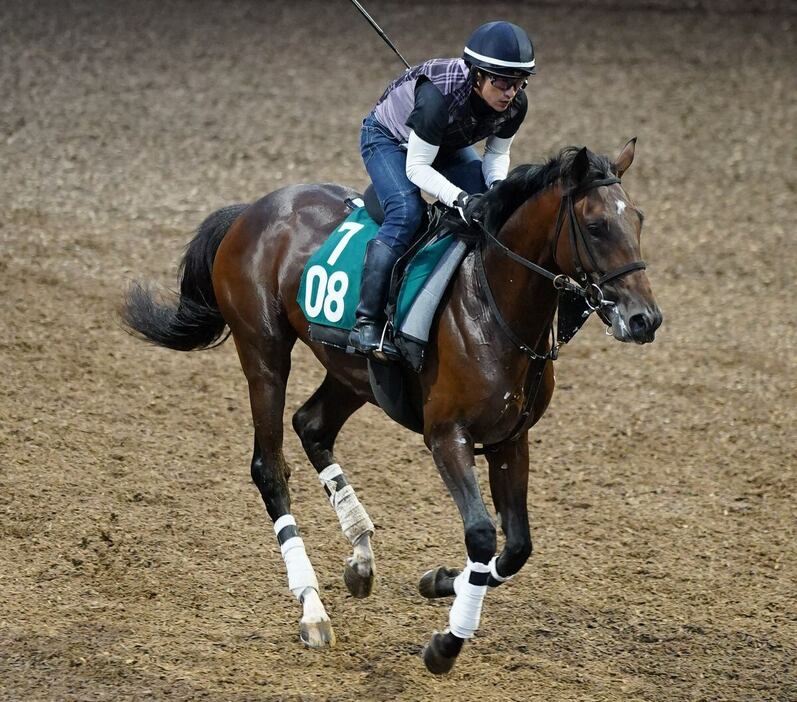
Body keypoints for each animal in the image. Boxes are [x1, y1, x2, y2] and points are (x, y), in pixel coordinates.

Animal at [123, 140, 660, 672]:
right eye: (596, 225)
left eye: (638, 219)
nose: (645, 319)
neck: (492, 308)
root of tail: (251, 210)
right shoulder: (447, 435)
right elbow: (482, 535)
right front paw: (446, 643)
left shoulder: (511, 439)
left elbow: (516, 548)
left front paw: (442, 580)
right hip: (264, 354)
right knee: (270, 468)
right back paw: (312, 607)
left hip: (354, 373)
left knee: (312, 425)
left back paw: (360, 555)